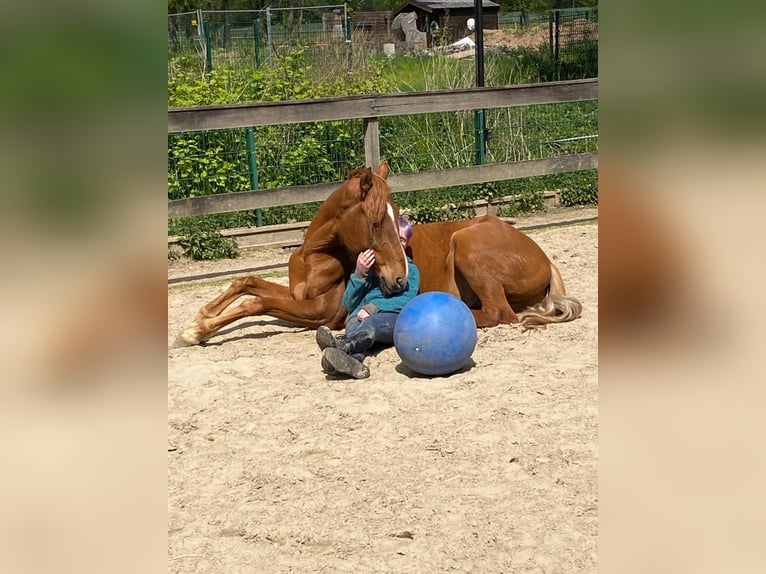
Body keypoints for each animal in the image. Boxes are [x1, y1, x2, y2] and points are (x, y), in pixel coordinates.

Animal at [176, 164, 584, 348]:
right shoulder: (296, 296)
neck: (314, 256)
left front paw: (195, 332)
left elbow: (255, 303)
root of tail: (545, 258)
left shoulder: (318, 312)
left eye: (398, 217)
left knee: (500, 313)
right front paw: (200, 318)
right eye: (375, 222)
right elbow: (246, 283)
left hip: (468, 246)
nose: (401, 277)